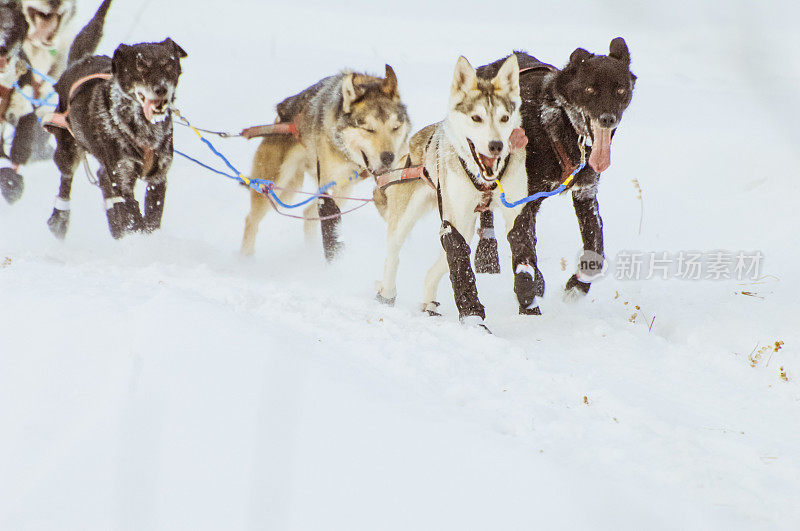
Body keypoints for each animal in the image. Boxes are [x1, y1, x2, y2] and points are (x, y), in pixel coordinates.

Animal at [45, 0, 189, 239]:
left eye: (169, 64)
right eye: (142, 66)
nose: (161, 89)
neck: (145, 129)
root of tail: (80, 61)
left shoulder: (157, 178)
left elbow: (151, 219)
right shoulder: (120, 178)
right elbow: (133, 217)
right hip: (67, 150)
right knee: (66, 181)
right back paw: (59, 219)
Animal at [241, 66, 410, 262]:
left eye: (395, 128)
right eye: (369, 129)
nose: (388, 157)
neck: (348, 156)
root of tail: (281, 116)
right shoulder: (327, 188)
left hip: (333, 190)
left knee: (308, 214)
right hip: (275, 185)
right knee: (251, 220)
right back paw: (245, 260)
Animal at [374, 56, 532, 330]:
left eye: (504, 118)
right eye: (476, 118)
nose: (496, 145)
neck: (485, 180)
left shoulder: (515, 210)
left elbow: (521, 245)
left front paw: (529, 301)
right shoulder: (453, 220)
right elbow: (460, 267)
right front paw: (473, 319)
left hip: (465, 225)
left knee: (435, 268)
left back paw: (429, 304)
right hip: (410, 218)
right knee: (393, 254)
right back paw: (387, 294)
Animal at [476, 40, 636, 316]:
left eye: (620, 90)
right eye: (590, 89)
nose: (607, 119)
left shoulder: (585, 193)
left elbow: (595, 249)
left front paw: (577, 285)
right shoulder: (521, 201)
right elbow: (522, 249)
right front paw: (527, 298)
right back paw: (486, 256)